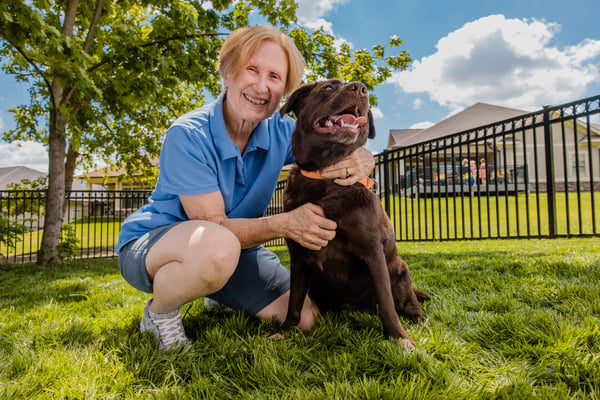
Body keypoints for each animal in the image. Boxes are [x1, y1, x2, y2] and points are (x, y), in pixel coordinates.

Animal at [278, 79, 428, 348]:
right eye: (328, 88)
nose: (360, 88)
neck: (324, 177)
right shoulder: (299, 256)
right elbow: (294, 301)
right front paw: (285, 331)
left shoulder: (372, 251)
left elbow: (387, 304)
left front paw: (399, 338)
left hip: (401, 272)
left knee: (408, 302)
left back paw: (419, 320)